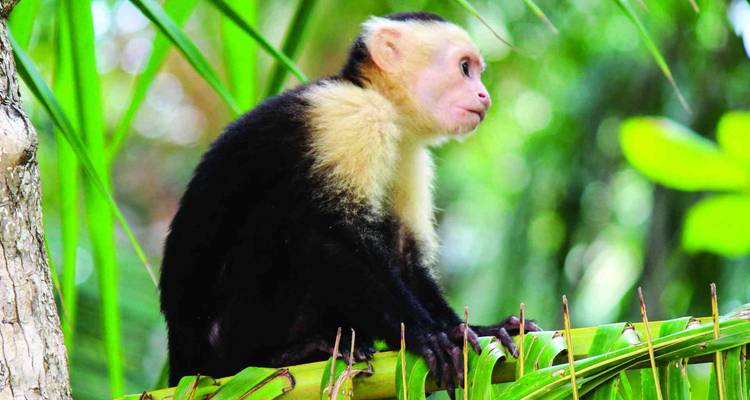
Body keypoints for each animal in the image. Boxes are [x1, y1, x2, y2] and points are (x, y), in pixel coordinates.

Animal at [159, 11, 539, 397]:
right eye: (464, 68)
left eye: (477, 72)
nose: (484, 96)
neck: (375, 96)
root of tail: (183, 364)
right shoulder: (351, 118)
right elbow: (329, 236)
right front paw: (428, 336)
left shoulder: (408, 151)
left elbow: (403, 253)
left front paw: (475, 330)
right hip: (226, 339)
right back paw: (281, 356)